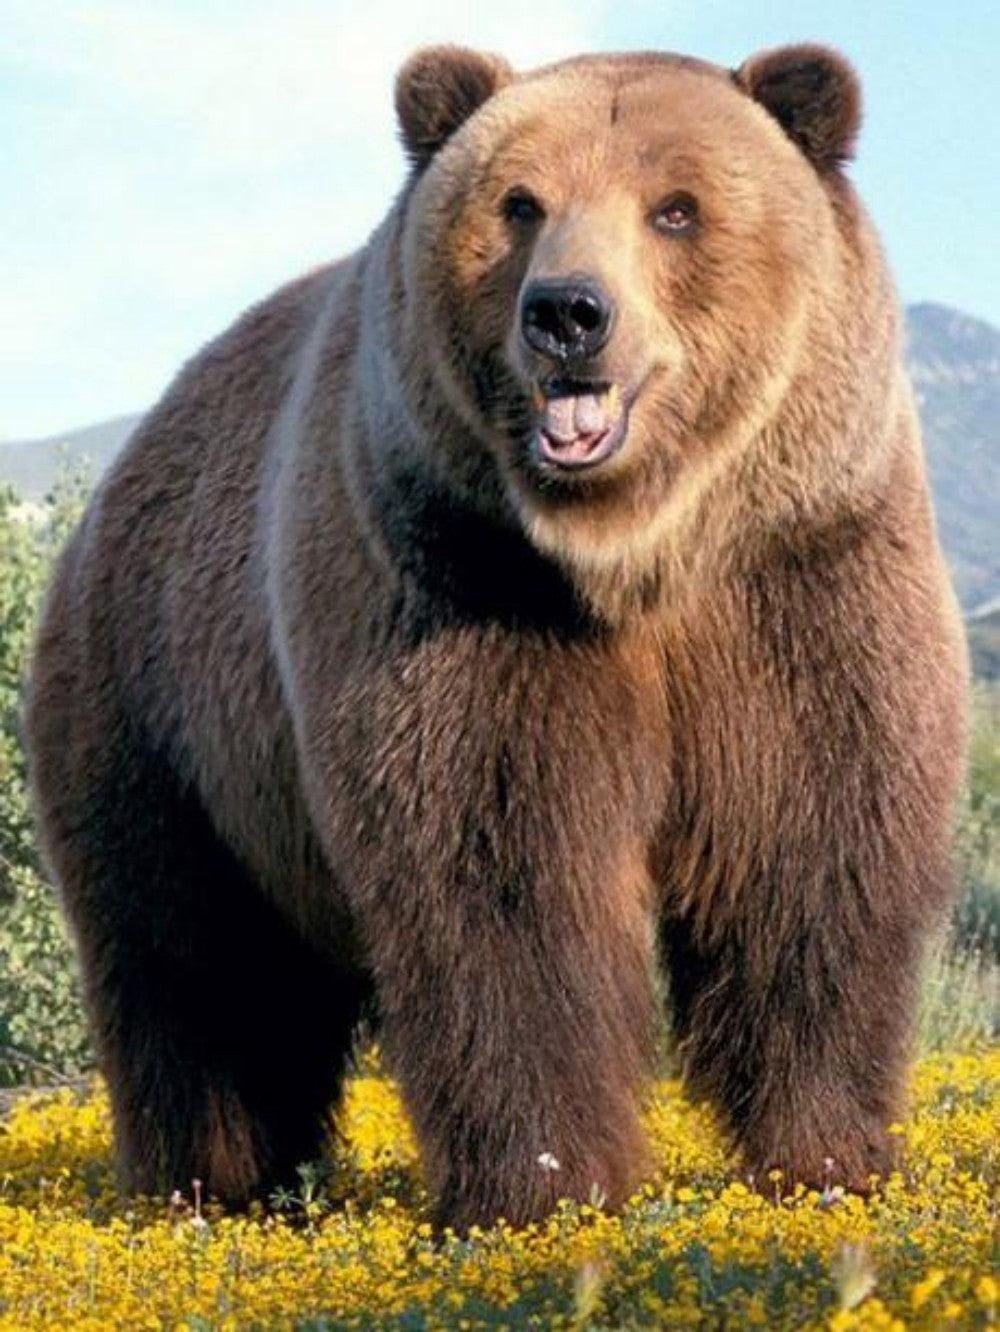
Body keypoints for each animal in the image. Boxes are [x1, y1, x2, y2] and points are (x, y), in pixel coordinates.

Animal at [24, 42, 968, 1232]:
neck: (636, 554)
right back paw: (210, 1184)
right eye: (521, 203)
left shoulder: (798, 575)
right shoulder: (460, 586)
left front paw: (828, 1159)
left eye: (676, 207)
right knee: (193, 963)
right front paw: (546, 1186)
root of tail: (116, 478)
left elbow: (810, 851)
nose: (568, 311)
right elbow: (504, 878)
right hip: (162, 712)